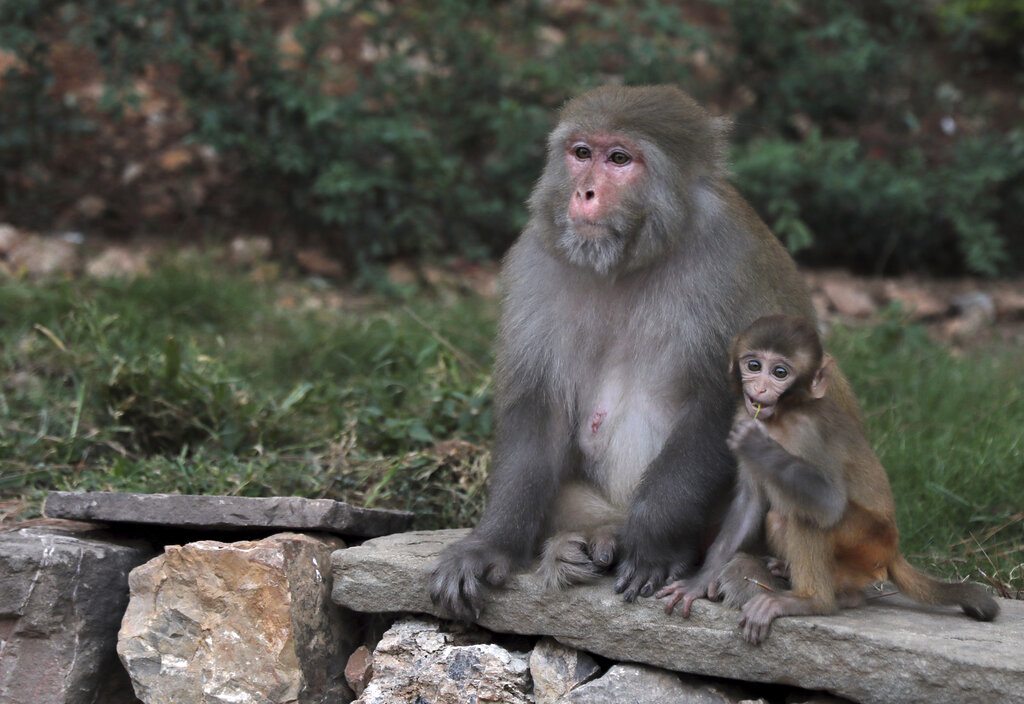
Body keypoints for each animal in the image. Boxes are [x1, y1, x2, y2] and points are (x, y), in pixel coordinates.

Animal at [429, 85, 822, 622]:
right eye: (581, 153)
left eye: (619, 159)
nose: (584, 193)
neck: (630, 260)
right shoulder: (537, 259)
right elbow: (539, 410)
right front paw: (491, 545)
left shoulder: (729, 260)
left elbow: (725, 405)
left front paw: (651, 545)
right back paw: (596, 536)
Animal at [658, 315, 999, 643]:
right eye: (753, 366)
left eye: (779, 372)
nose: (761, 389)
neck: (781, 417)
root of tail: (893, 551)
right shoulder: (743, 414)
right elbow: (749, 504)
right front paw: (699, 582)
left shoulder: (808, 433)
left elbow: (829, 502)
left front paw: (760, 446)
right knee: (779, 519)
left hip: (870, 540)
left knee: (806, 516)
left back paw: (811, 601)